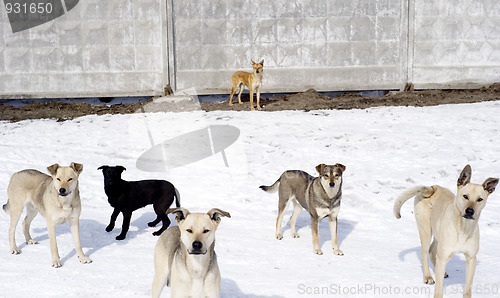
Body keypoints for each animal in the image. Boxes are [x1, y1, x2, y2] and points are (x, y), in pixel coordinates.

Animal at [394, 165, 496, 298]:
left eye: (480, 199)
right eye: (465, 196)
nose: (469, 211)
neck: (463, 228)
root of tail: (433, 188)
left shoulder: (471, 259)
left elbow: (467, 289)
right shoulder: (443, 257)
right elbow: (438, 290)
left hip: (438, 234)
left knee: (432, 250)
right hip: (426, 230)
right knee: (424, 252)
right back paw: (428, 276)